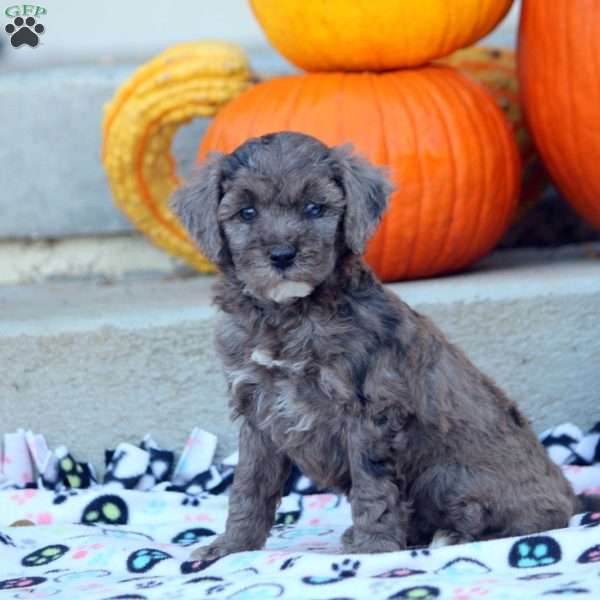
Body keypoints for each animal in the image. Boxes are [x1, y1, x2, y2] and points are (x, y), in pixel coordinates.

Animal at [171, 130, 584, 556]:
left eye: (315, 208)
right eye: (247, 213)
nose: (282, 255)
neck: (289, 315)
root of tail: (571, 497)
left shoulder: (369, 412)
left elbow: (373, 487)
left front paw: (372, 548)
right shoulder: (257, 409)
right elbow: (249, 485)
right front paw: (231, 547)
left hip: (450, 475)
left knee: (520, 521)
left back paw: (451, 535)